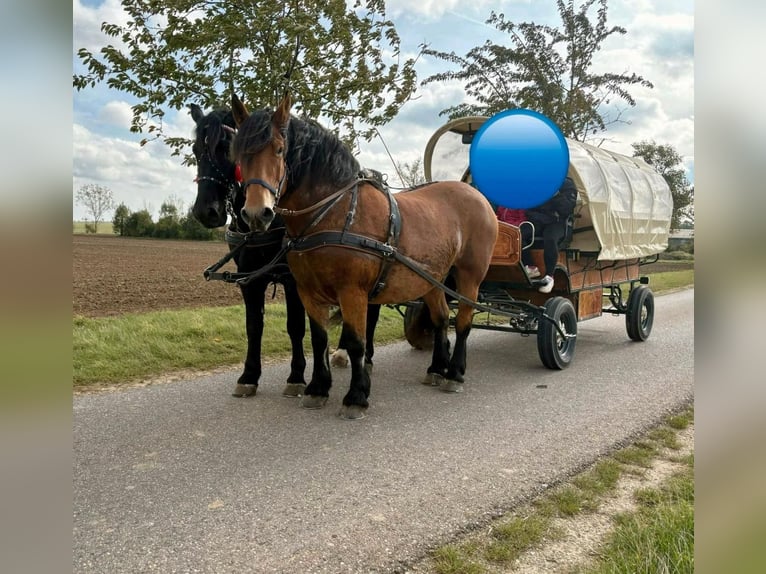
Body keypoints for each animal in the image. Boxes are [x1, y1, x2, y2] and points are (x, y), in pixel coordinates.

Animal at [189, 106, 380, 398]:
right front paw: (249, 376)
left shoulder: (293, 280)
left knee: (370, 314)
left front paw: (297, 376)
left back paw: (361, 358)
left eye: (225, 147)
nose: (205, 211)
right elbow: (254, 327)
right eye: (196, 150)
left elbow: (296, 327)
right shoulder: (250, 278)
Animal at [231, 92, 500, 420]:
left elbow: (357, 342)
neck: (334, 212)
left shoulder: (353, 292)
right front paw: (317, 388)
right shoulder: (308, 291)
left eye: (280, 149)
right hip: (432, 278)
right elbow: (318, 339)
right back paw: (437, 369)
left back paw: (455, 374)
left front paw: (356, 396)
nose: (258, 213)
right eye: (239, 155)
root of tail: (476, 195)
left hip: (469, 276)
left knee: (462, 322)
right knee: (439, 320)